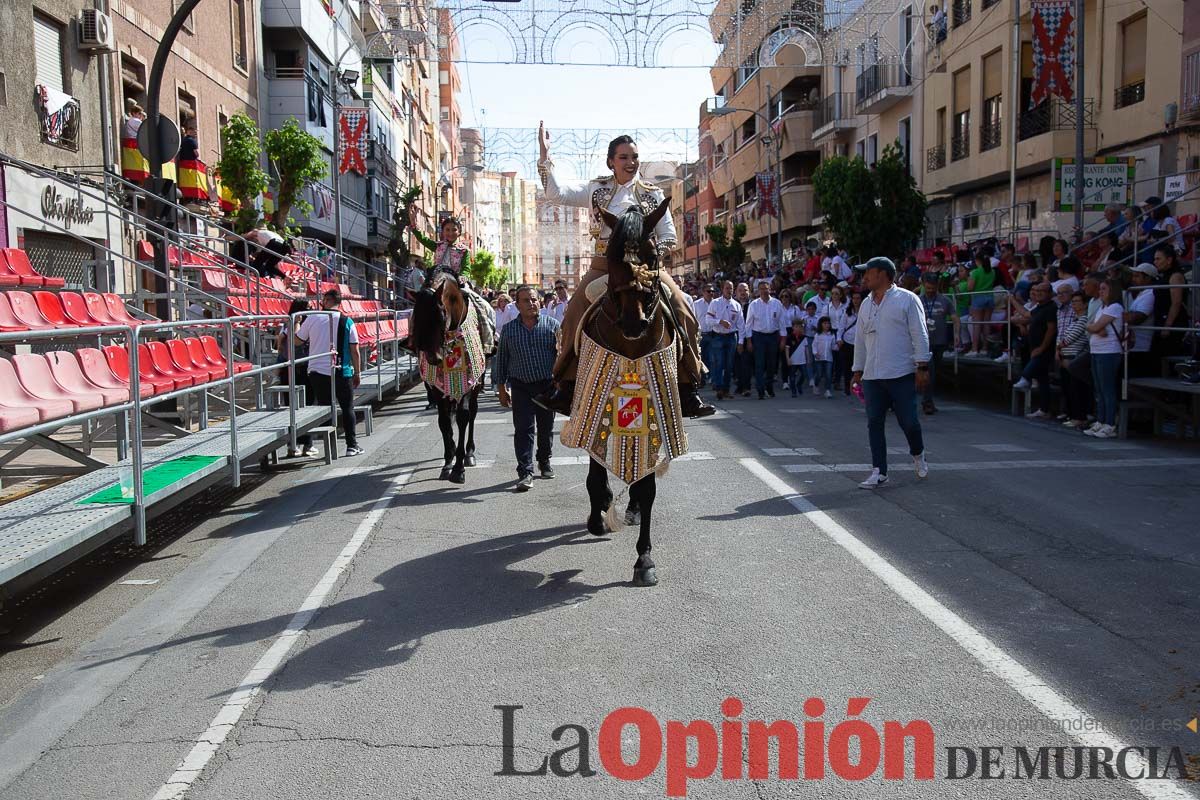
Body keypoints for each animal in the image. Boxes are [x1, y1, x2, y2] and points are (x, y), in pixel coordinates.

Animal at [408, 267, 492, 482]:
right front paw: (448, 461)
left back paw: (469, 453)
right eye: (416, 317)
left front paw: (458, 467)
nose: (433, 357)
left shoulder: (469, 381)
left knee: (472, 413)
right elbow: (444, 421)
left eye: (440, 316)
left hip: (477, 383)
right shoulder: (436, 387)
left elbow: (463, 418)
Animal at [559, 200, 691, 587]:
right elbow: (594, 471)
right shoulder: (592, 404)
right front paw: (597, 516)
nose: (634, 322)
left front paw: (644, 560)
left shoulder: (655, 416)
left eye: (652, 255)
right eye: (613, 255)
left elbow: (646, 489)